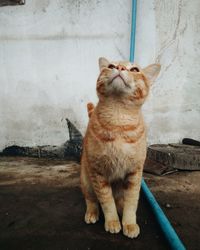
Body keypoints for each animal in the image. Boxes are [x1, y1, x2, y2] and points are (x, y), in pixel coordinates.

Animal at [80, 57, 160, 238]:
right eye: (111, 66)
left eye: (135, 69)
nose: (121, 68)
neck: (118, 118)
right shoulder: (98, 173)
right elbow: (106, 202)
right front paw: (112, 222)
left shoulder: (135, 173)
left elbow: (132, 202)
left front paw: (129, 223)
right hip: (86, 180)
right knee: (92, 199)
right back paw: (92, 213)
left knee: (121, 202)